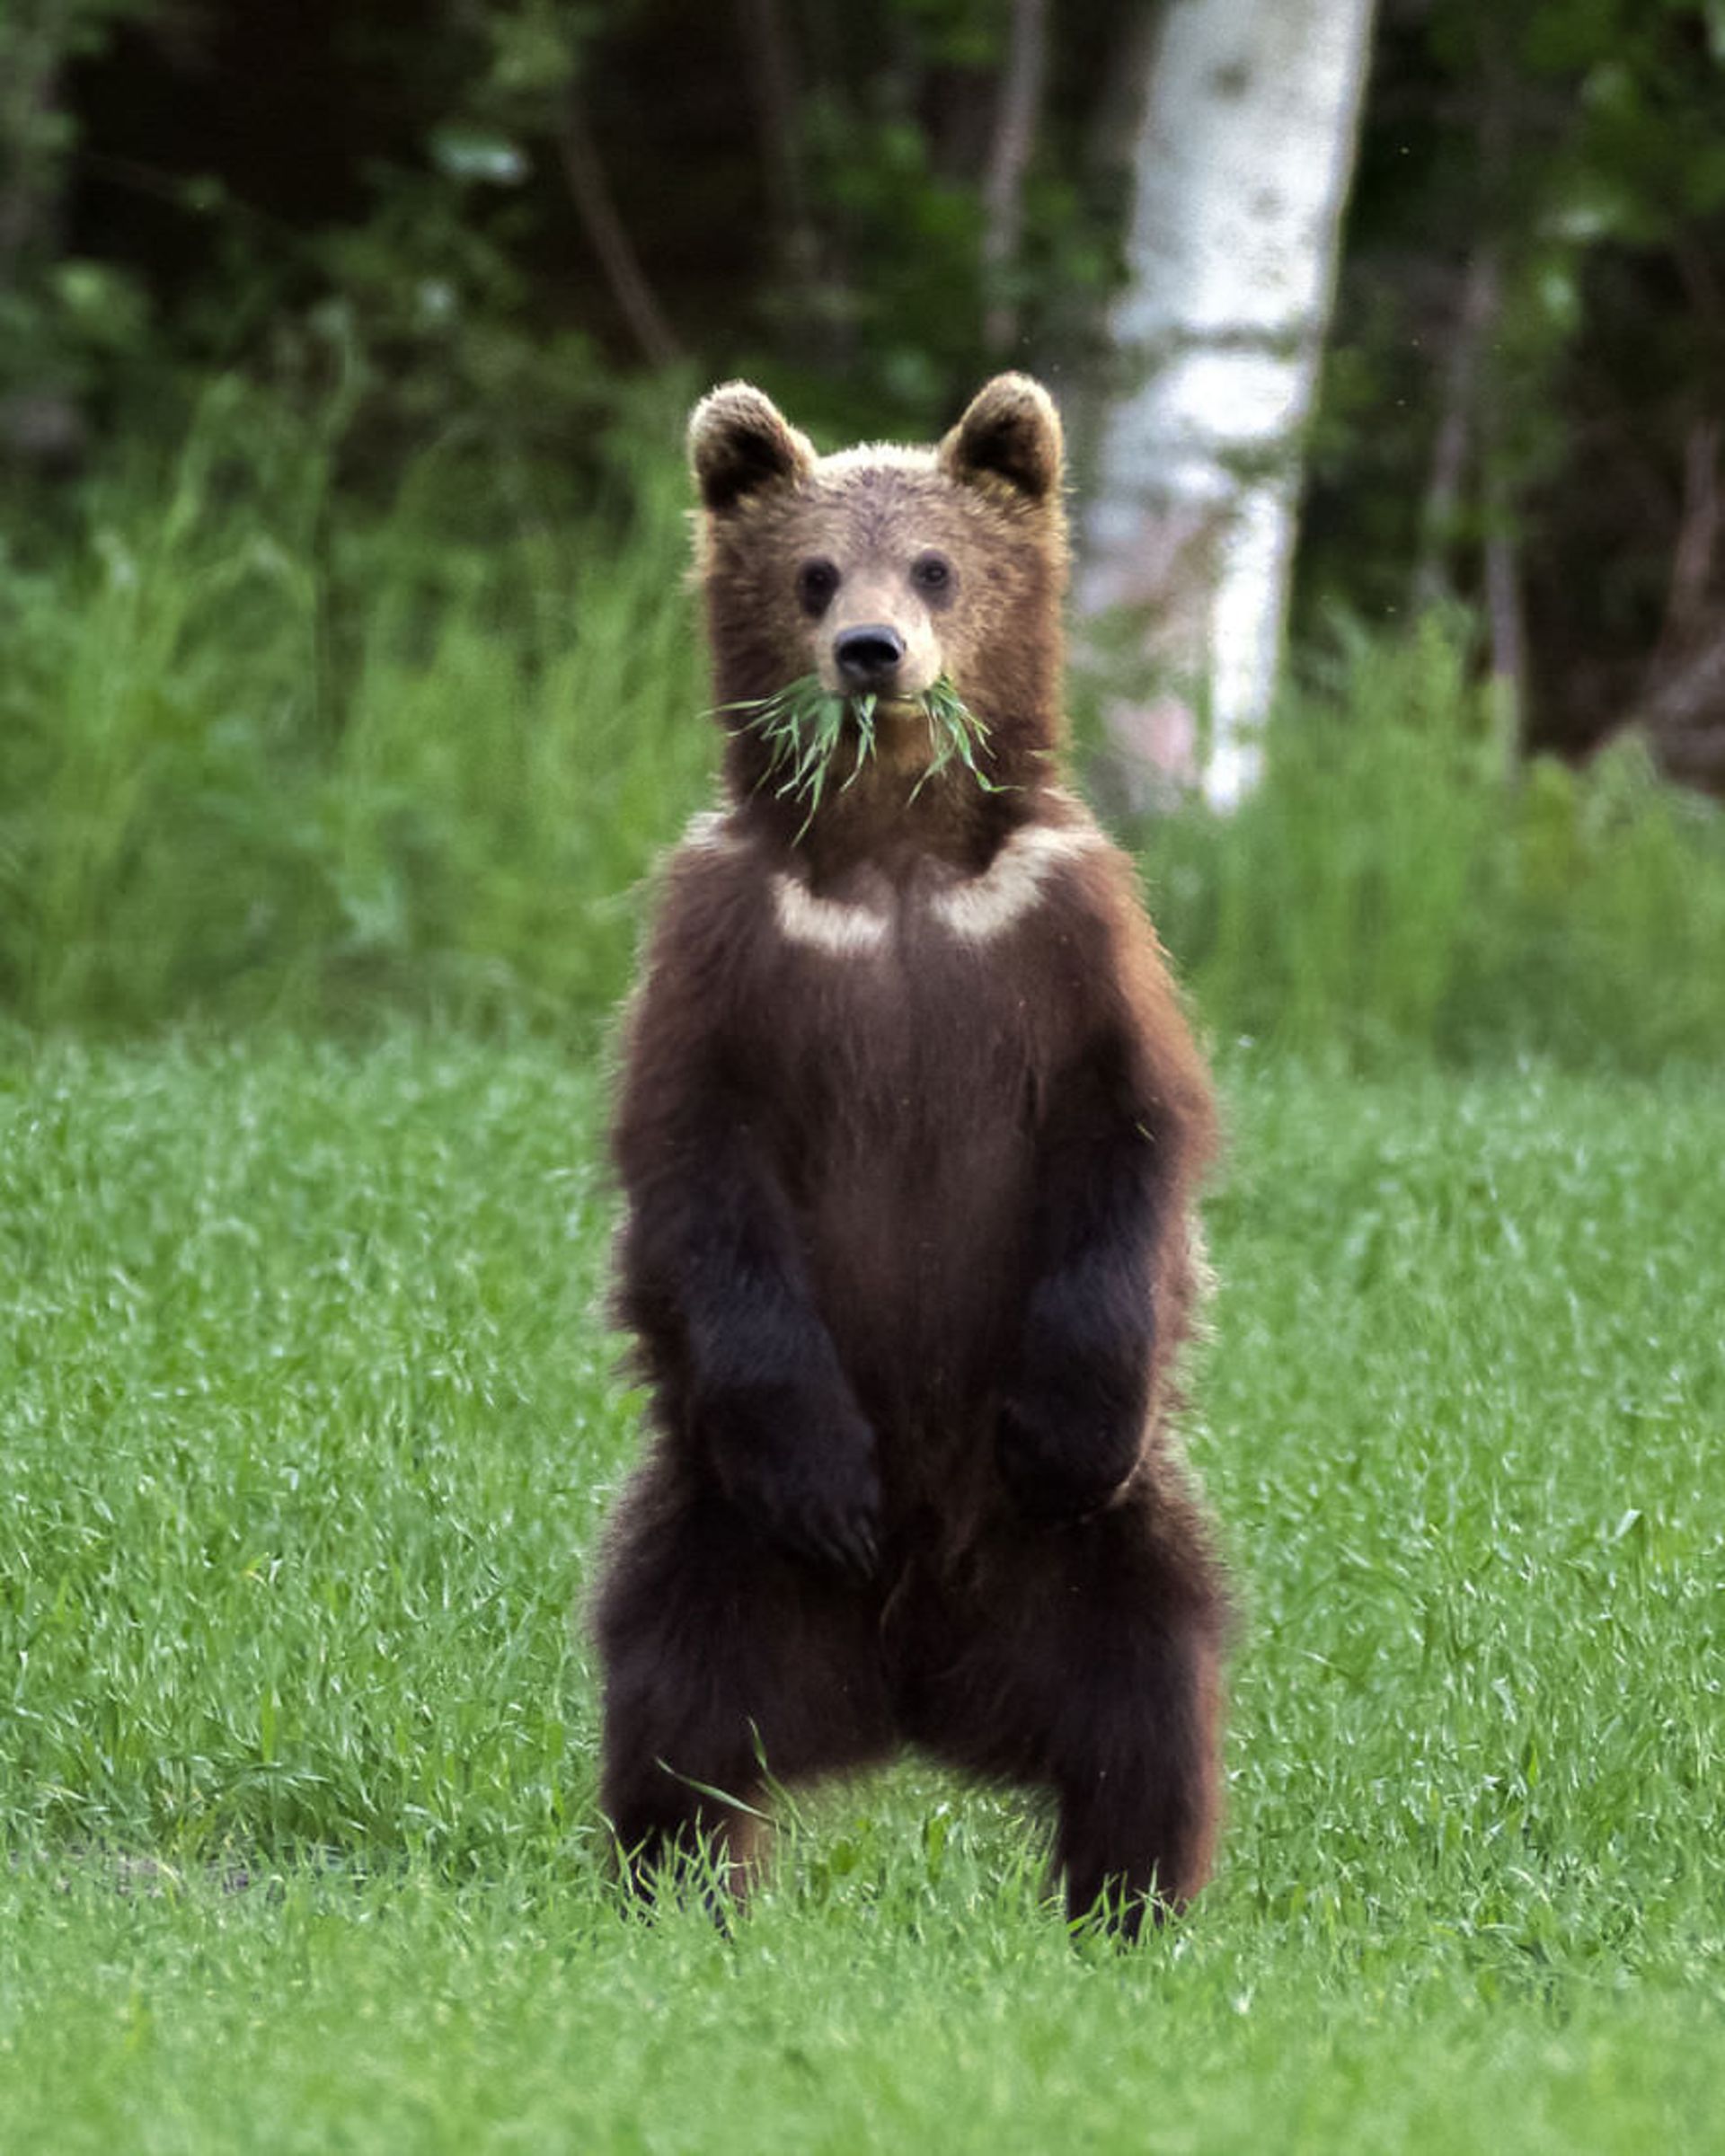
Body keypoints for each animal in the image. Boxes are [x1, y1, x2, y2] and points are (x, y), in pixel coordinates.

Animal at [595, 375, 1225, 1940]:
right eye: (816, 572)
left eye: (937, 565)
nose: (872, 652)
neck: (893, 865)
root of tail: (917, 1687)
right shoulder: (726, 950)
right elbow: (701, 1176)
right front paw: (829, 1472)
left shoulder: (1068, 934)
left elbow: (1130, 1141)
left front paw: (1068, 1416)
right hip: (716, 1533)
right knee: (674, 1716)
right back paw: (678, 1893)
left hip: (1103, 1555)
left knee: (1152, 1703)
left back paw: (1131, 1908)